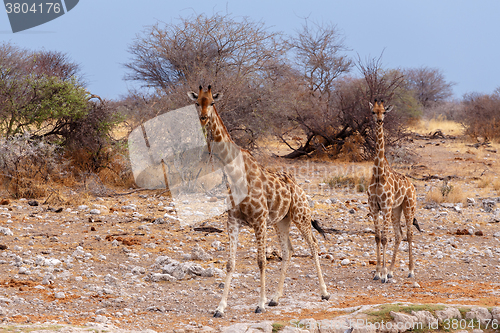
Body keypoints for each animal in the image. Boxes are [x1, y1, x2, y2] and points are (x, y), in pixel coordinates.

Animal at [188, 85, 328, 316]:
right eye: (197, 102)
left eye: (213, 102)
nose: (203, 118)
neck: (235, 173)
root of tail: (298, 187)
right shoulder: (233, 221)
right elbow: (230, 263)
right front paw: (220, 307)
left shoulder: (259, 221)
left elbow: (261, 261)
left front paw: (259, 304)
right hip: (282, 221)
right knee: (288, 251)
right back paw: (276, 298)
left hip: (300, 215)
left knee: (313, 245)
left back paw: (324, 293)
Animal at [366, 98, 420, 282]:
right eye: (373, 112)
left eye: (384, 111)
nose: (379, 120)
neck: (377, 174)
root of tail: (412, 185)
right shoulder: (374, 207)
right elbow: (377, 238)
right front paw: (377, 273)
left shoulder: (385, 206)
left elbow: (384, 238)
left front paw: (382, 274)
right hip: (397, 209)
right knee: (399, 235)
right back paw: (390, 270)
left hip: (408, 206)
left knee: (409, 235)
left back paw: (411, 271)